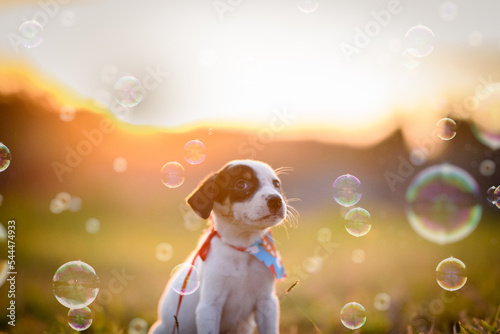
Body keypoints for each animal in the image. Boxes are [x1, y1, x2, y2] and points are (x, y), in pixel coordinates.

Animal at [150, 160, 294, 334]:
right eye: (241, 184)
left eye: (276, 184)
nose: (276, 200)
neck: (242, 249)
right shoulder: (209, 306)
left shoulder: (267, 302)